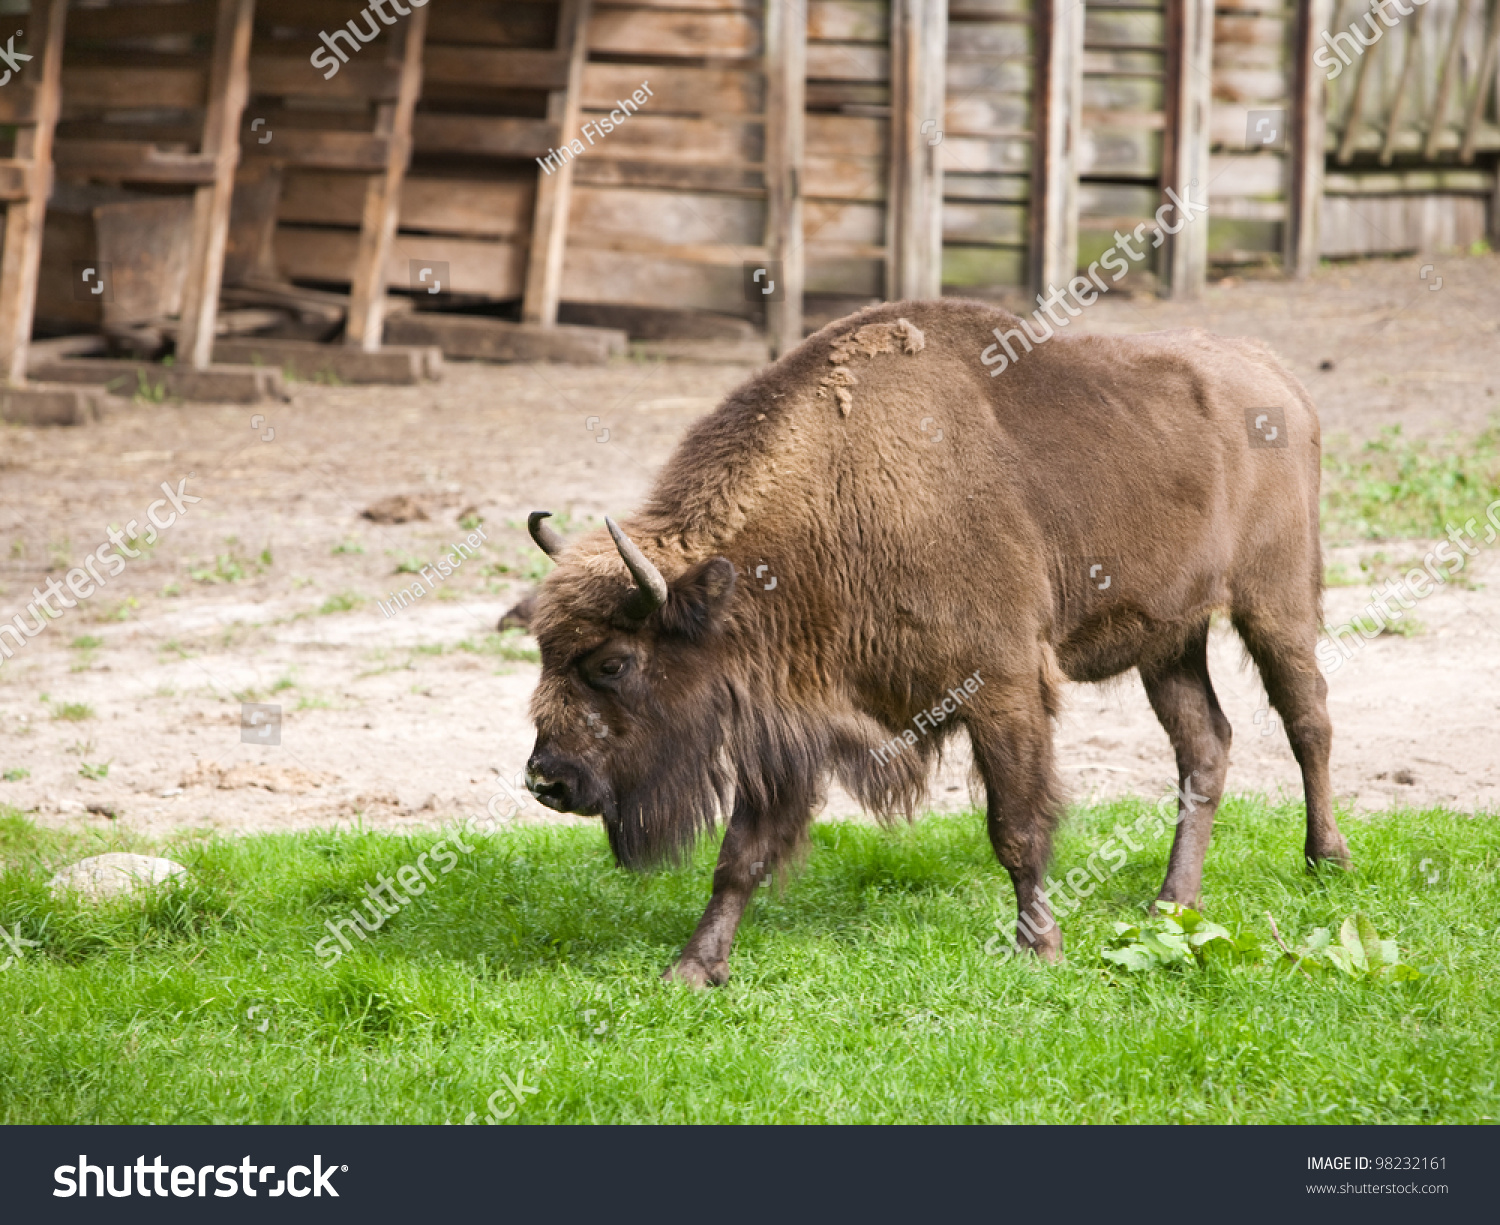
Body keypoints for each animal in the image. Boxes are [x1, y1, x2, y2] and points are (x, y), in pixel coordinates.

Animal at [525, 298, 1350, 983]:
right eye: (543, 651)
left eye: (613, 661)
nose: (546, 781)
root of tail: (1274, 375)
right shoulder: (790, 721)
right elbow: (742, 854)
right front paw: (692, 969)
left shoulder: (1003, 689)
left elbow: (1016, 827)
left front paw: (1039, 947)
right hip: (1169, 641)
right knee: (1204, 744)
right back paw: (1172, 903)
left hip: (1274, 604)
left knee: (1307, 718)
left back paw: (1327, 860)